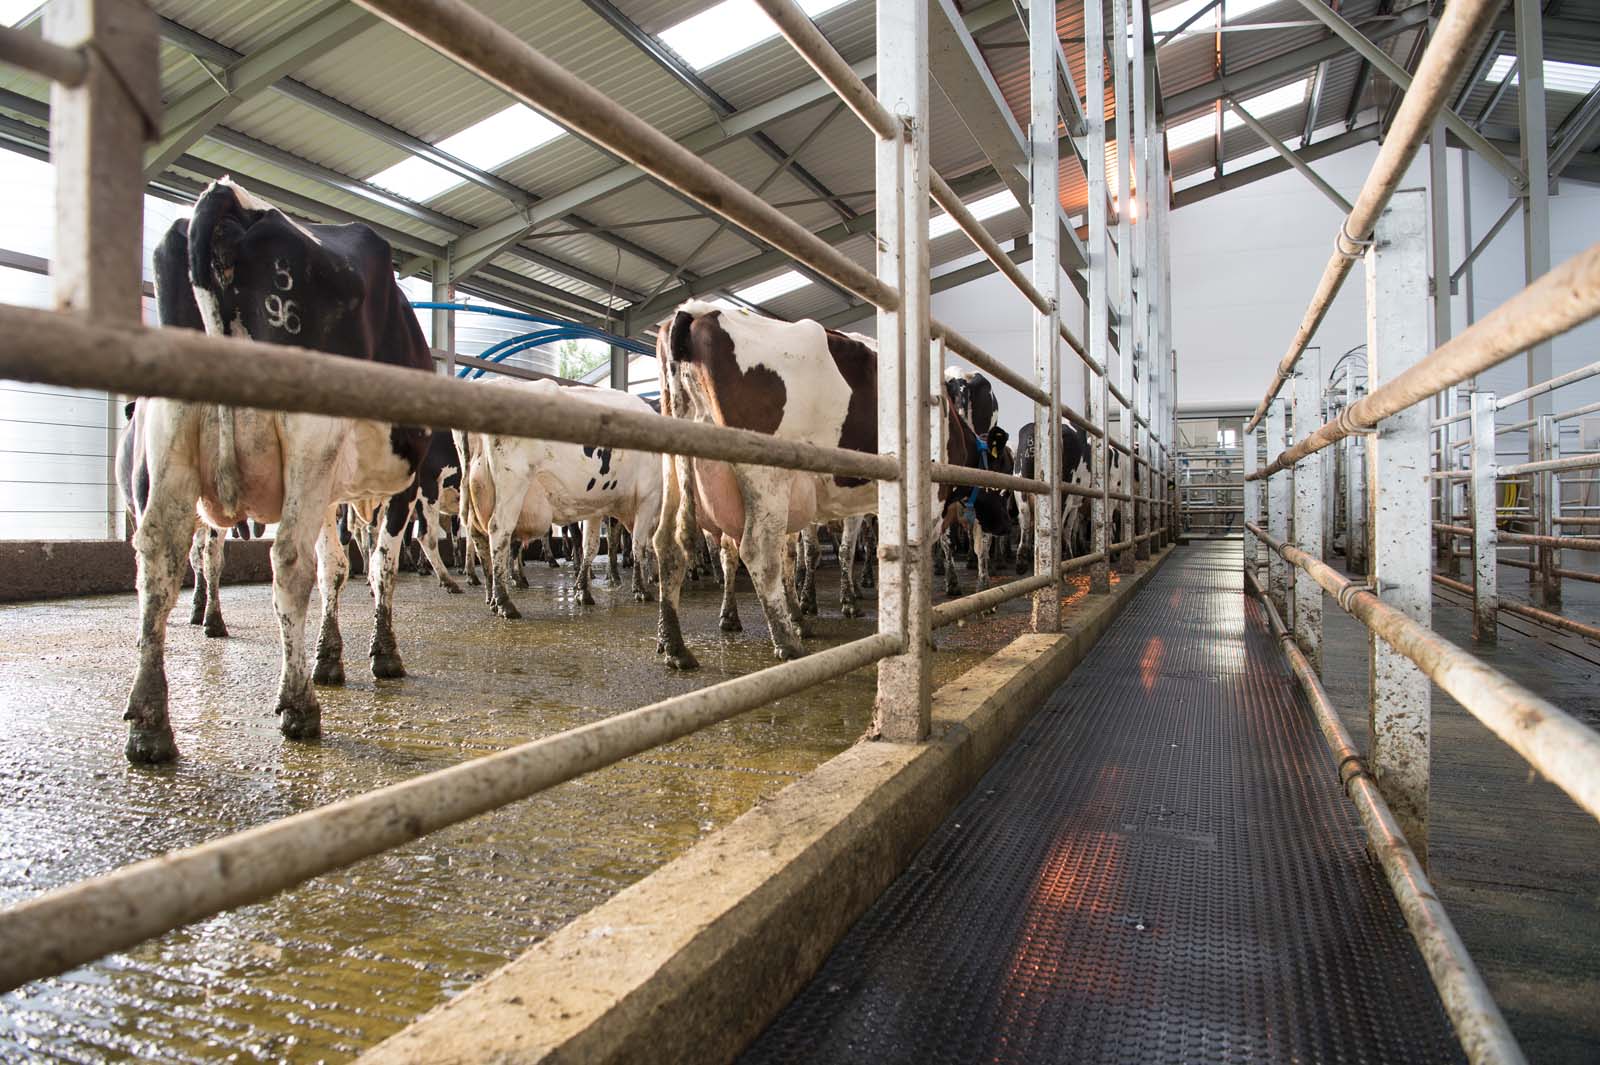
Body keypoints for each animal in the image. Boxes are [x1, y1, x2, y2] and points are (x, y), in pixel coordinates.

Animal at [122, 179, 434, 764]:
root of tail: (227, 199)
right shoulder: (397, 487)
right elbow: (378, 567)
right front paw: (382, 656)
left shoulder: (331, 489)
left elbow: (337, 565)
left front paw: (330, 657)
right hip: (310, 434)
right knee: (288, 563)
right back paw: (297, 705)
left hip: (172, 434)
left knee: (159, 558)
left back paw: (149, 724)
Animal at [458, 379, 662, 617]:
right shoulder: (648, 497)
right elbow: (639, 544)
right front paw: (641, 590)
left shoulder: (597, 506)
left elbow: (591, 546)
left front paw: (583, 592)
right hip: (512, 489)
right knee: (499, 532)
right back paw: (505, 603)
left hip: (477, 493)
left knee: (478, 538)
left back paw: (491, 598)